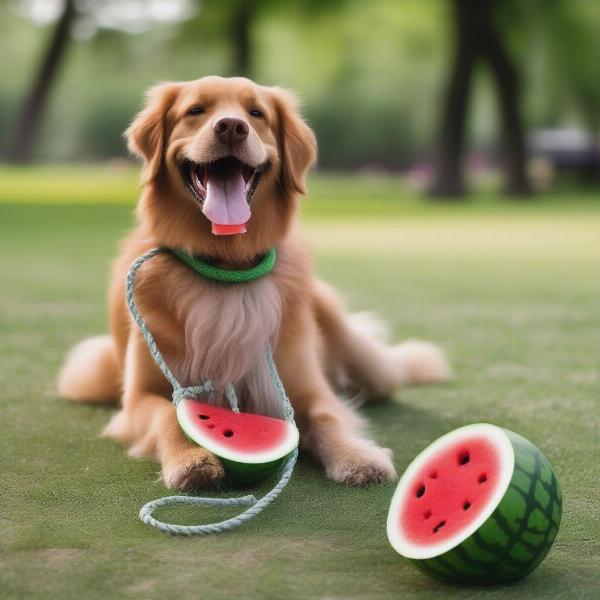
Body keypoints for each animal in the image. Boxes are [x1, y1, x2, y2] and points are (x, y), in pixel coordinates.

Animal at [57, 76, 450, 488]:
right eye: (195, 110)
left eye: (256, 113)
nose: (231, 127)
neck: (228, 267)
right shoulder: (139, 396)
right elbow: (168, 416)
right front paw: (189, 460)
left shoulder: (307, 389)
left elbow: (328, 417)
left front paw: (357, 455)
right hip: (92, 372)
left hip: (365, 359)